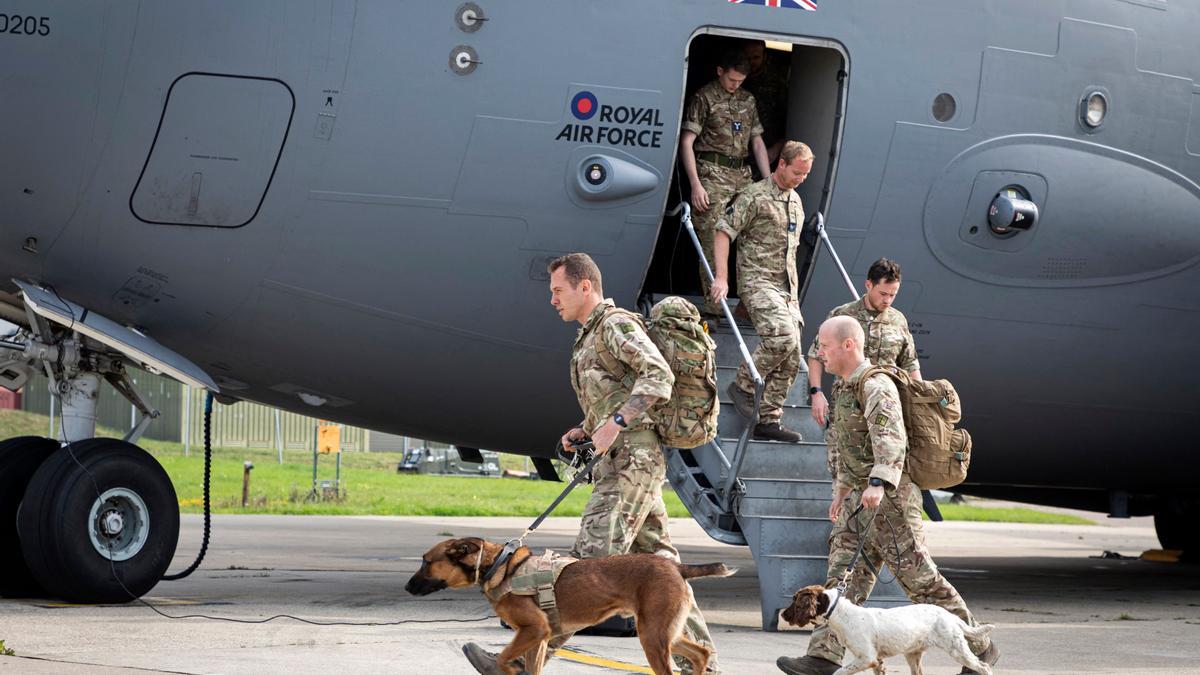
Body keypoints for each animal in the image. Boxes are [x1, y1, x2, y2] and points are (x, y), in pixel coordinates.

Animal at [408, 535, 734, 672]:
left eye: (426, 562)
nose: (408, 587)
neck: (498, 566)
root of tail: (676, 567)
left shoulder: (533, 630)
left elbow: (503, 659)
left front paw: (505, 669)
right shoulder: (538, 639)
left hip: (652, 635)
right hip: (663, 631)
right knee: (701, 653)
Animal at [777, 581, 993, 667]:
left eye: (795, 601)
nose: (783, 615)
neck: (840, 612)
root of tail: (950, 616)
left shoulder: (868, 658)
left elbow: (840, 671)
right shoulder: (876, 661)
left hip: (956, 649)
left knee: (983, 667)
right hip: (913, 655)